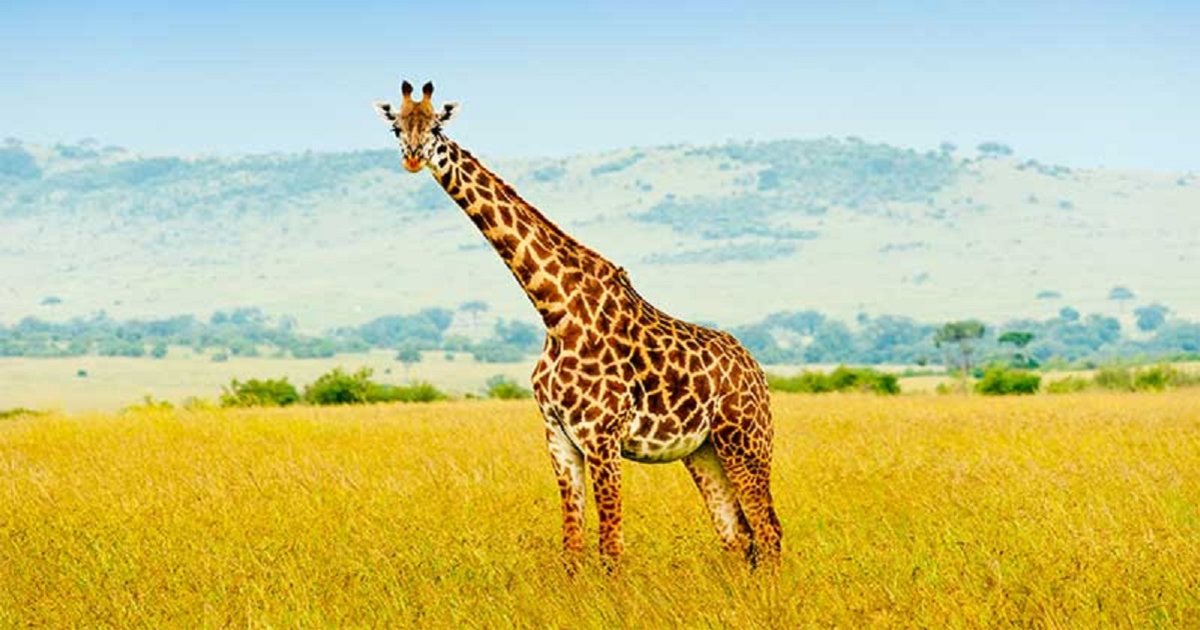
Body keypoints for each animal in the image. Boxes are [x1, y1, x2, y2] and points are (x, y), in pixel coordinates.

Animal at [373, 80, 781, 572]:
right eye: (397, 127)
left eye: (436, 126)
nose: (414, 157)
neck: (555, 309)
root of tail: (756, 370)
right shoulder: (558, 437)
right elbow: (572, 545)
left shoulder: (602, 436)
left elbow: (611, 547)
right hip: (704, 450)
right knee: (737, 536)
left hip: (746, 440)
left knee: (769, 531)